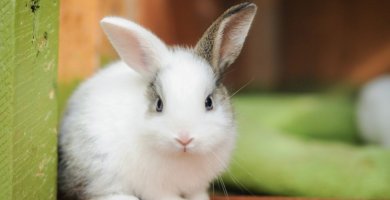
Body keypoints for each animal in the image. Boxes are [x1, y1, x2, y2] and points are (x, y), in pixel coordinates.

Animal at [58, 2, 256, 200]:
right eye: (159, 104)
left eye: (209, 102)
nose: (184, 139)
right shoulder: (155, 188)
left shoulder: (196, 186)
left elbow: (198, 194)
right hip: (99, 169)